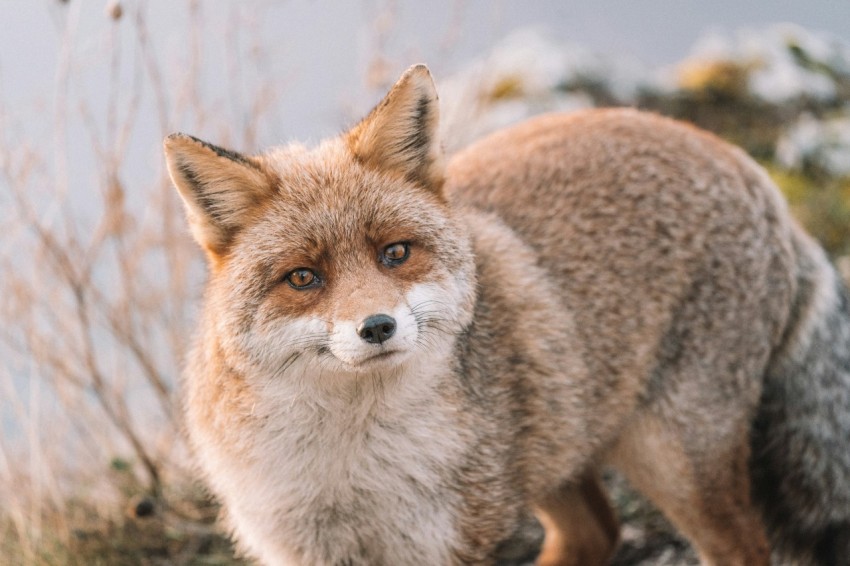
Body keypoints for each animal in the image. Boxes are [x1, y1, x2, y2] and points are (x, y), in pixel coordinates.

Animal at [162, 64, 848, 564]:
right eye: (304, 278)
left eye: (395, 253)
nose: (377, 327)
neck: (347, 470)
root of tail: (745, 165)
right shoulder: (301, 549)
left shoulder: (445, 542)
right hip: (559, 444)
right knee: (597, 532)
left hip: (675, 460)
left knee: (740, 546)